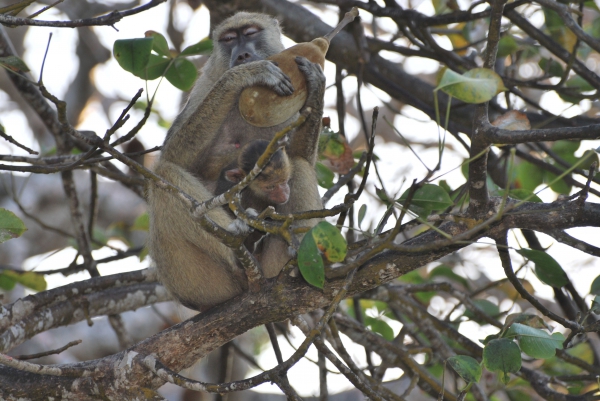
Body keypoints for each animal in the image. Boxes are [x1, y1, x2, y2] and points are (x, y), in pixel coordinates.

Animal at [148, 10, 326, 310]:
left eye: (251, 33)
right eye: (229, 39)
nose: (242, 55)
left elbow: (300, 158)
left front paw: (316, 84)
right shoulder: (206, 85)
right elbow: (173, 157)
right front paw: (244, 75)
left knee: (300, 168)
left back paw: (297, 263)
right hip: (194, 281)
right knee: (164, 176)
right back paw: (237, 243)